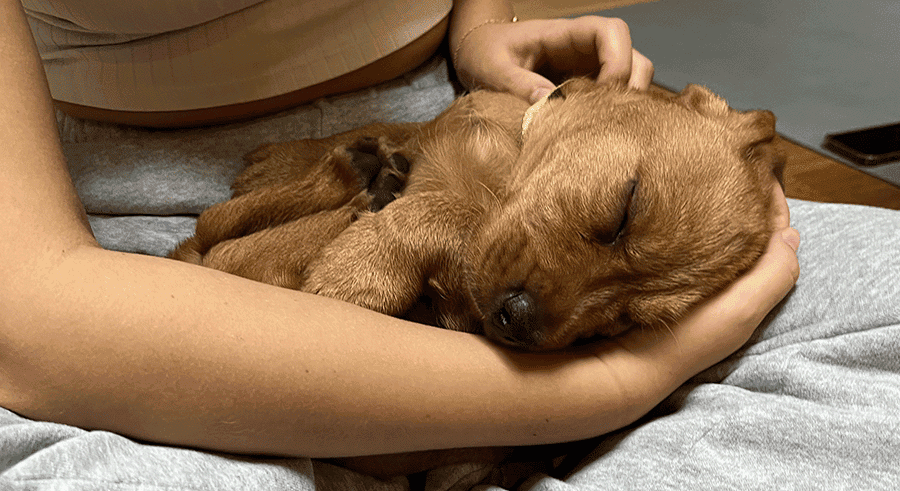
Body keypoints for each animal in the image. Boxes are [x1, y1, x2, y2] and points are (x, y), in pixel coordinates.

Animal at [172, 79, 784, 352]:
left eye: (625, 321)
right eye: (622, 213)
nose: (516, 322)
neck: (511, 155)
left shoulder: (461, 301)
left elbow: (453, 215)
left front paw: (358, 269)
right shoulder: (431, 132)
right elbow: (387, 126)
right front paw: (292, 154)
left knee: (218, 237)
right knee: (217, 229)